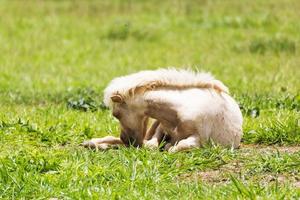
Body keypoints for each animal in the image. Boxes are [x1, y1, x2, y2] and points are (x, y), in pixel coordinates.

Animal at [83, 68, 243, 152]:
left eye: (116, 114)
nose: (126, 140)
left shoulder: (200, 138)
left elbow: (178, 146)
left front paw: (169, 146)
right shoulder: (160, 127)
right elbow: (152, 143)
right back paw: (92, 143)